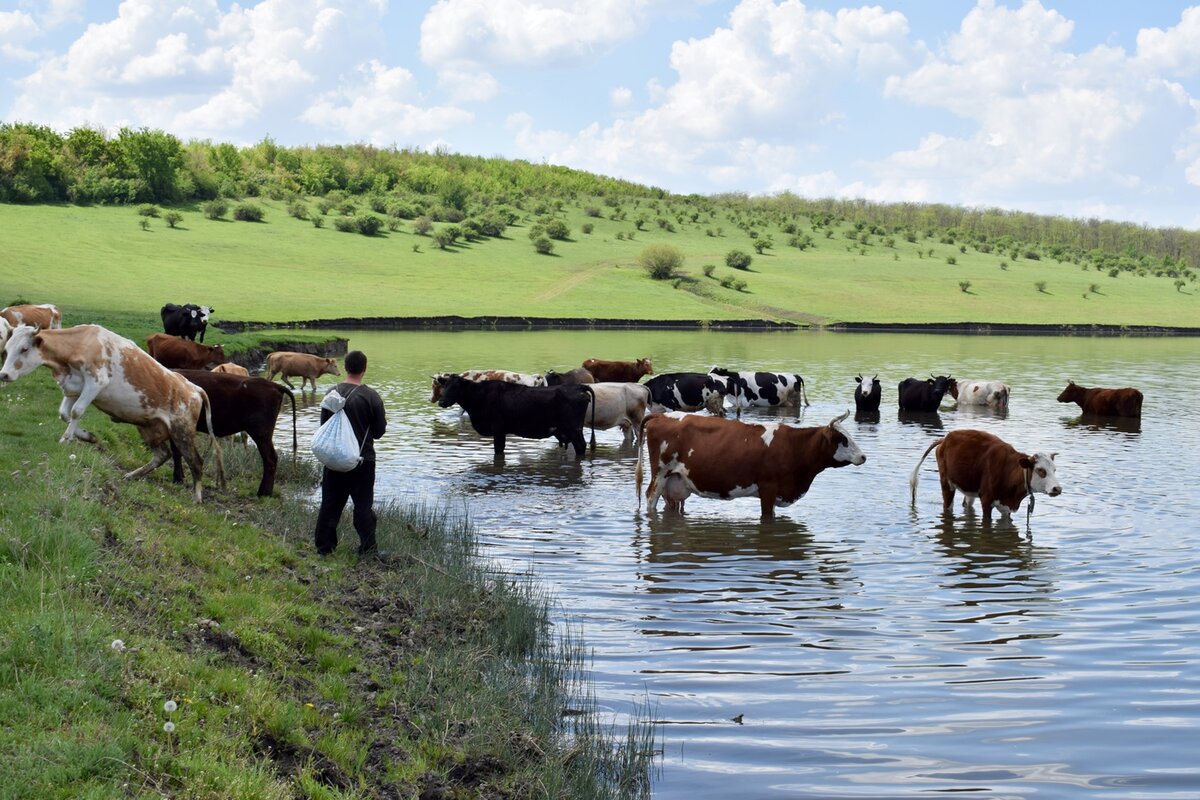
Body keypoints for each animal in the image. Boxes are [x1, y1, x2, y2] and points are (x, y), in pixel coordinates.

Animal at [0, 323, 223, 501]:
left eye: (24, 348)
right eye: (7, 348)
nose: (4, 374)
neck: (79, 344)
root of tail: (193, 387)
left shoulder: (96, 382)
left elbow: (76, 412)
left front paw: (66, 439)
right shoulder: (73, 387)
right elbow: (65, 414)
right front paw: (86, 436)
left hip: (182, 431)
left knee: (196, 462)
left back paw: (197, 497)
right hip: (149, 427)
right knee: (162, 455)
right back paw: (133, 475)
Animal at [436, 376, 595, 455]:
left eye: (455, 387)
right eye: (445, 385)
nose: (441, 402)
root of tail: (578, 386)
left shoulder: (498, 429)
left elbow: (498, 450)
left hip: (573, 428)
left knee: (581, 446)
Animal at [907, 431, 1060, 525]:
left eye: (1054, 469)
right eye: (1041, 470)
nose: (1057, 488)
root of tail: (944, 439)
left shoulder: (1007, 507)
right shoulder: (986, 501)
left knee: (967, 504)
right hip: (947, 484)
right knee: (947, 506)